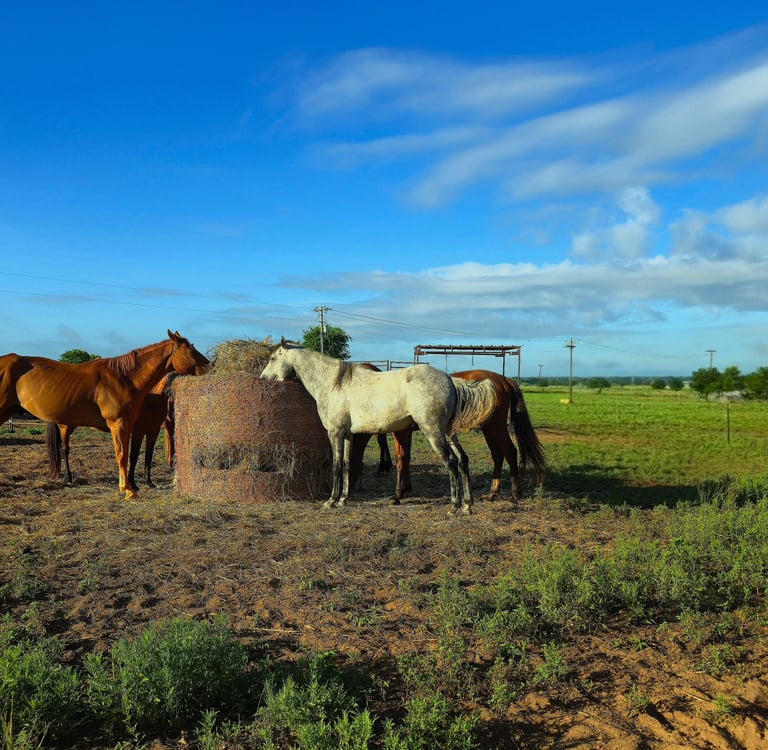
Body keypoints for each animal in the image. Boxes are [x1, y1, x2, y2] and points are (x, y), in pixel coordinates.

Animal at [0, 330, 209, 498]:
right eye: (191, 350)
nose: (210, 365)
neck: (124, 378)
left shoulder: (133, 427)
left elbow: (131, 455)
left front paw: (133, 486)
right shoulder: (120, 424)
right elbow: (123, 455)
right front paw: (128, 490)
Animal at [260, 341, 497, 514]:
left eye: (272, 358)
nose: (263, 378)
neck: (333, 383)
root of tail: (449, 380)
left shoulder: (335, 433)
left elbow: (336, 466)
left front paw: (331, 501)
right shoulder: (348, 435)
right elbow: (347, 464)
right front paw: (343, 499)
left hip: (433, 432)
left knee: (451, 462)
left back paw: (454, 506)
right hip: (448, 432)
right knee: (463, 461)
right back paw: (467, 505)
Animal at [369, 369, 548, 504]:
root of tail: (503, 380)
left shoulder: (401, 432)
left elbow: (401, 459)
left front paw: (398, 495)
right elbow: (406, 458)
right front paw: (406, 490)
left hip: (495, 427)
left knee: (510, 452)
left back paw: (515, 494)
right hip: (488, 428)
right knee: (497, 455)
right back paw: (492, 493)